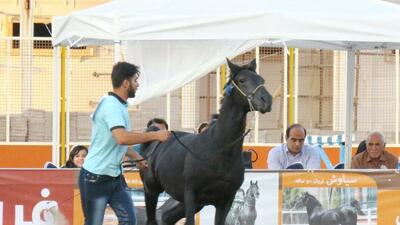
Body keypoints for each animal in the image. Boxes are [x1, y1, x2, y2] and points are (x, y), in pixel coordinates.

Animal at [139, 58, 274, 225]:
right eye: (242, 80)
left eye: (261, 80)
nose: (267, 101)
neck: (217, 149)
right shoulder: (191, 196)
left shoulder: (224, 200)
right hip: (151, 191)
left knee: (165, 217)